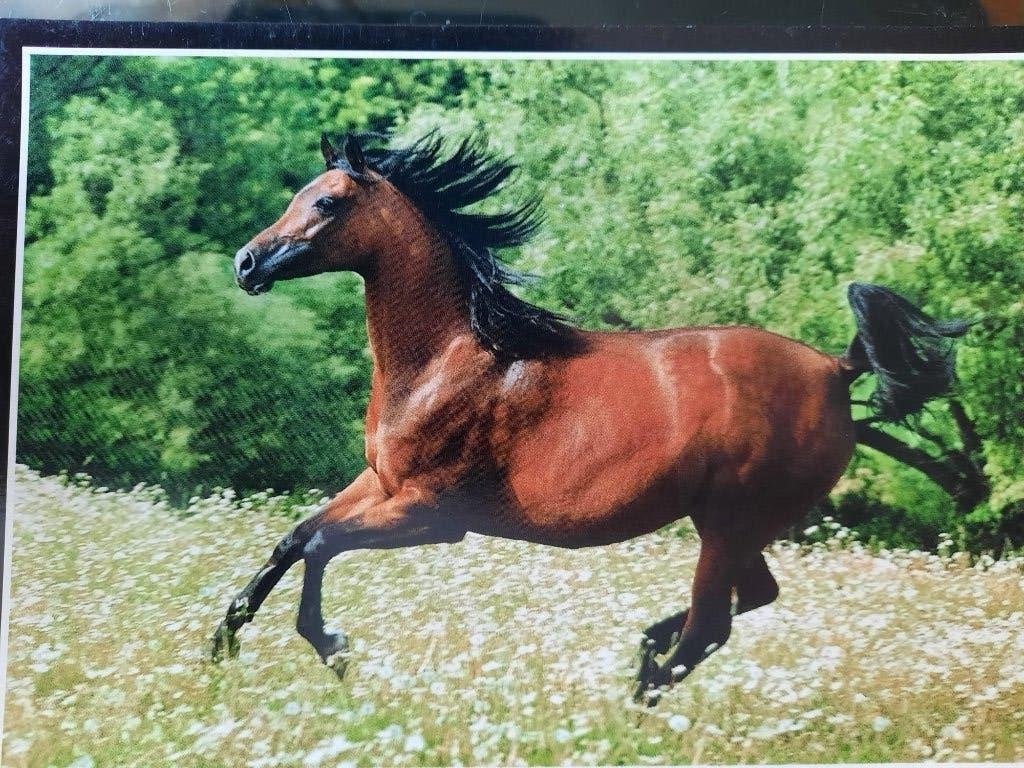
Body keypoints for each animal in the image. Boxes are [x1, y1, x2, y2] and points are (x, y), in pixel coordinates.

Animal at [210, 131, 969, 703]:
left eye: (328, 201)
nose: (246, 263)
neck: (446, 360)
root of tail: (836, 371)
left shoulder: (432, 513)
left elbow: (317, 545)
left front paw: (333, 648)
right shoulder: (380, 485)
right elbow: (292, 539)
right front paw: (220, 647)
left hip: (729, 523)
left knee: (711, 627)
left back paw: (636, 703)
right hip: (737, 527)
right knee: (748, 599)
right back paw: (647, 647)